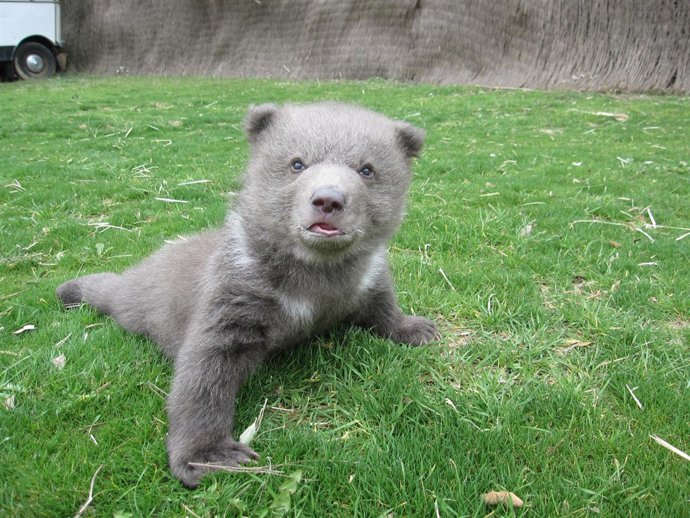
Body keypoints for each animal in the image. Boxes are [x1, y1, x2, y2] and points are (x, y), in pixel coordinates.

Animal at [56, 102, 438, 488]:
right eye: (297, 163)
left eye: (366, 169)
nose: (328, 199)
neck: (317, 270)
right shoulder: (238, 291)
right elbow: (206, 369)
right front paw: (207, 454)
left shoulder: (365, 276)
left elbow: (381, 304)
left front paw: (415, 328)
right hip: (141, 298)